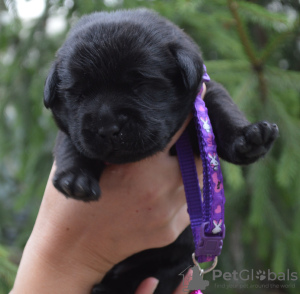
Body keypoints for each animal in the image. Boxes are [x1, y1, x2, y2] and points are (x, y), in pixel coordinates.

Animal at [44, 8, 278, 292]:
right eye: (78, 93)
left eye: (140, 84)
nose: (108, 127)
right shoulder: (73, 127)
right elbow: (71, 143)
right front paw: (75, 179)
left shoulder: (203, 97)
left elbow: (221, 109)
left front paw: (249, 136)